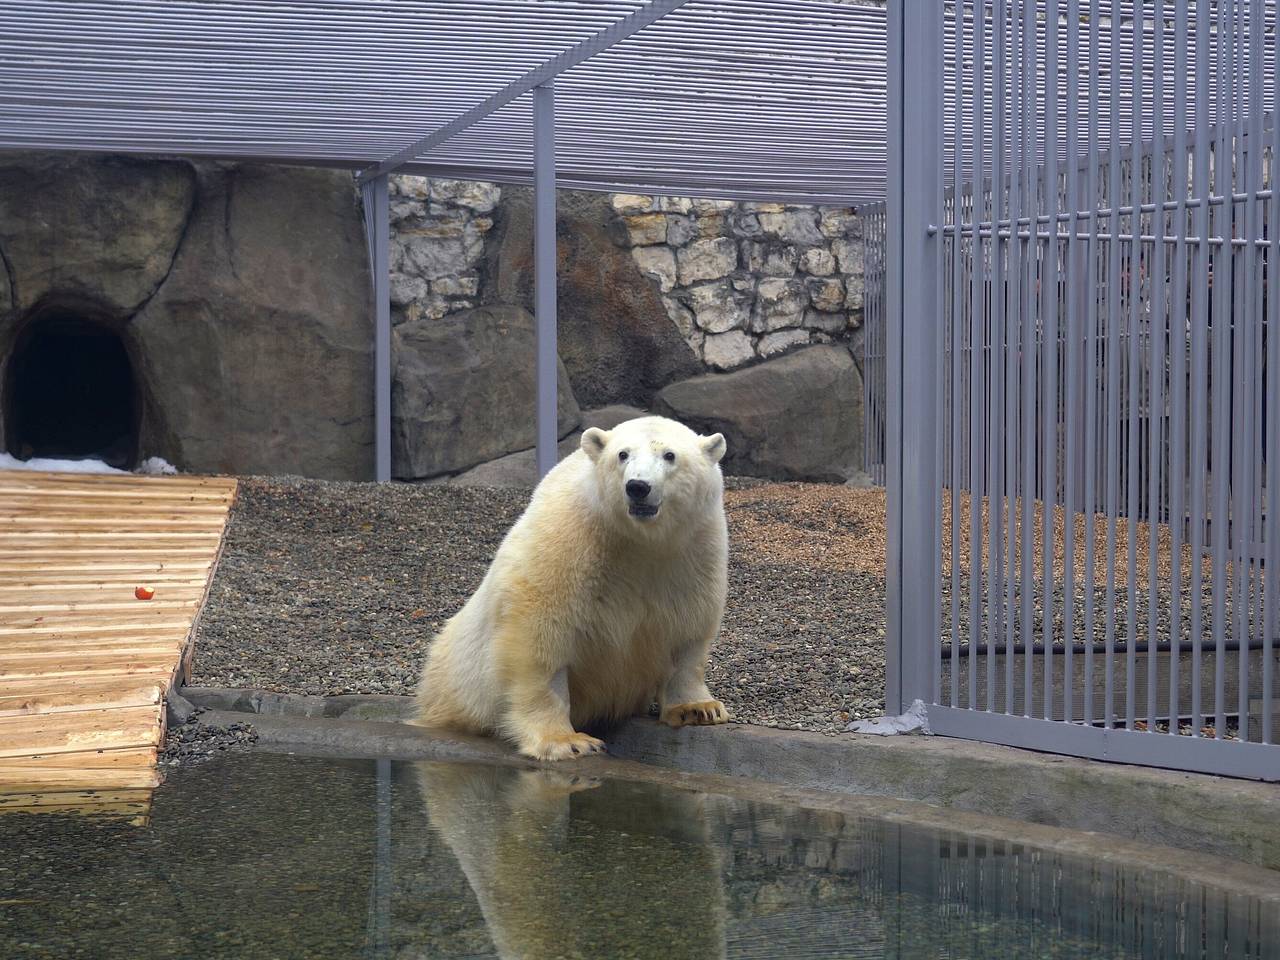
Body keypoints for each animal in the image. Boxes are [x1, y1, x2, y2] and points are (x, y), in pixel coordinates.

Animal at [417, 417, 732, 762]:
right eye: (622, 454)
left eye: (670, 455)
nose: (637, 486)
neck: (637, 539)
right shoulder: (570, 542)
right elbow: (540, 638)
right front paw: (567, 741)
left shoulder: (692, 552)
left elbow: (688, 632)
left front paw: (698, 709)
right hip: (457, 674)